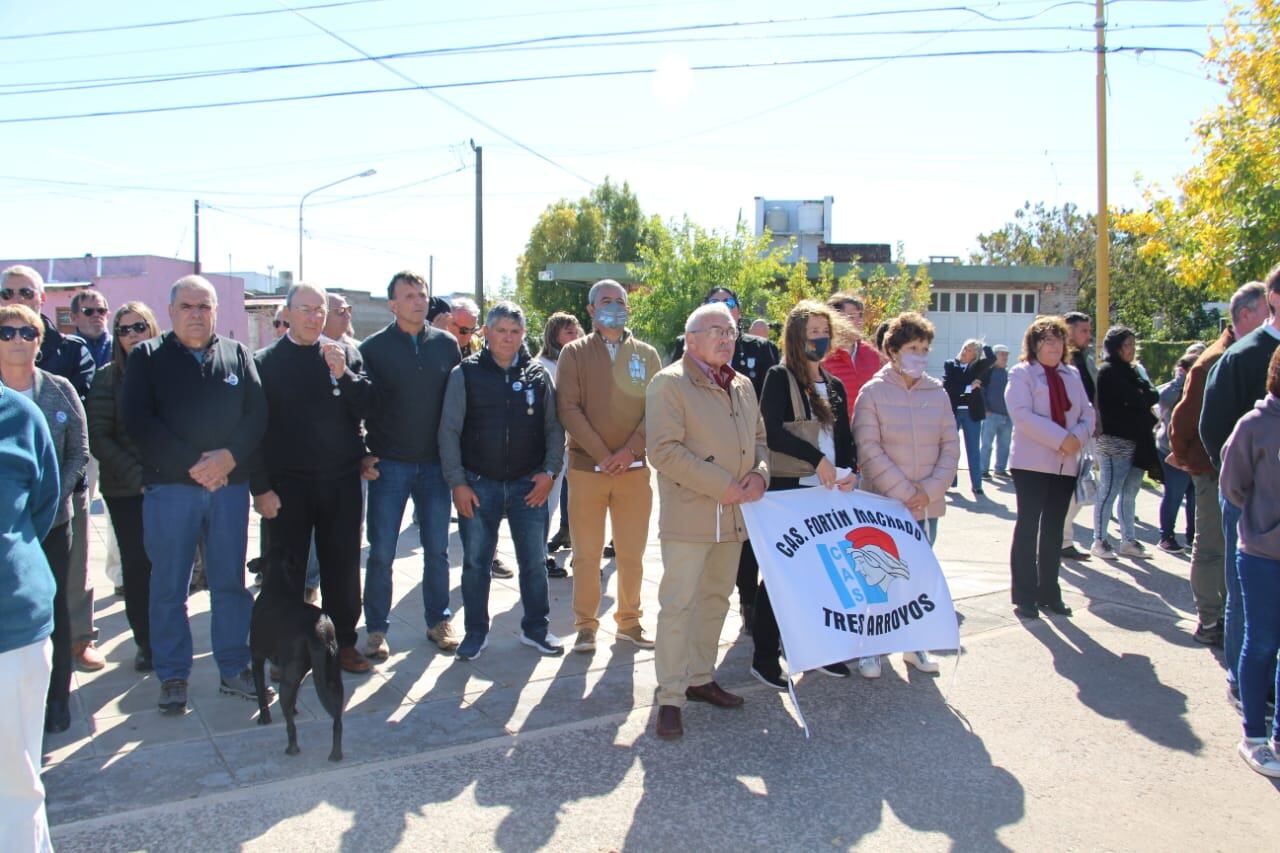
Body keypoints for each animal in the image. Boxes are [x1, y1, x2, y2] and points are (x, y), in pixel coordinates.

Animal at [249, 548, 345, 758]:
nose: (248, 564)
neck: (277, 588)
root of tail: (320, 628)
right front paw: (294, 709)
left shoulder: (257, 657)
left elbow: (260, 693)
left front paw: (264, 718)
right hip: (333, 679)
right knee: (338, 721)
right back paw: (335, 754)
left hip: (288, 681)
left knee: (291, 726)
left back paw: (292, 749)